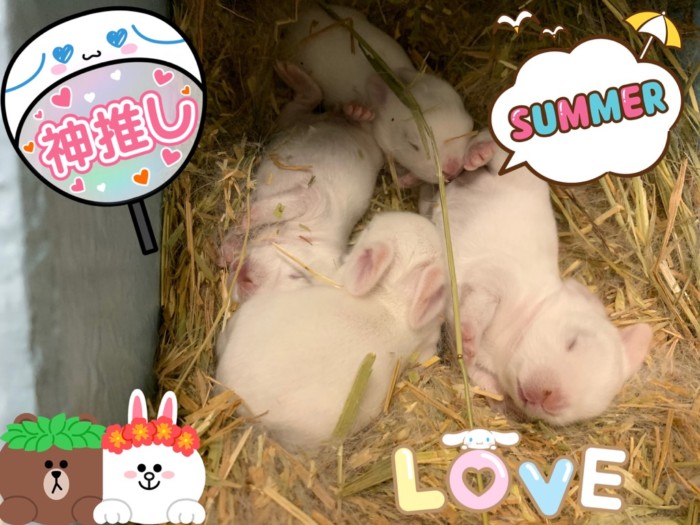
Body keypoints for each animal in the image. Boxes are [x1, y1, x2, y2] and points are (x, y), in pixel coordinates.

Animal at [218, 62, 383, 301]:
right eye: (298, 274)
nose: (245, 279)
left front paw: (224, 253)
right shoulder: (313, 199)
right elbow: (280, 206)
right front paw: (243, 220)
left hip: (289, 121)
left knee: (306, 102)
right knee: (328, 107)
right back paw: (356, 109)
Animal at [431, 130, 653, 425]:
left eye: (587, 409)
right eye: (573, 342)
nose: (549, 398)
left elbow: (479, 377)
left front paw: (493, 391)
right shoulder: (495, 281)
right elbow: (478, 307)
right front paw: (466, 341)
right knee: (487, 150)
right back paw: (478, 154)